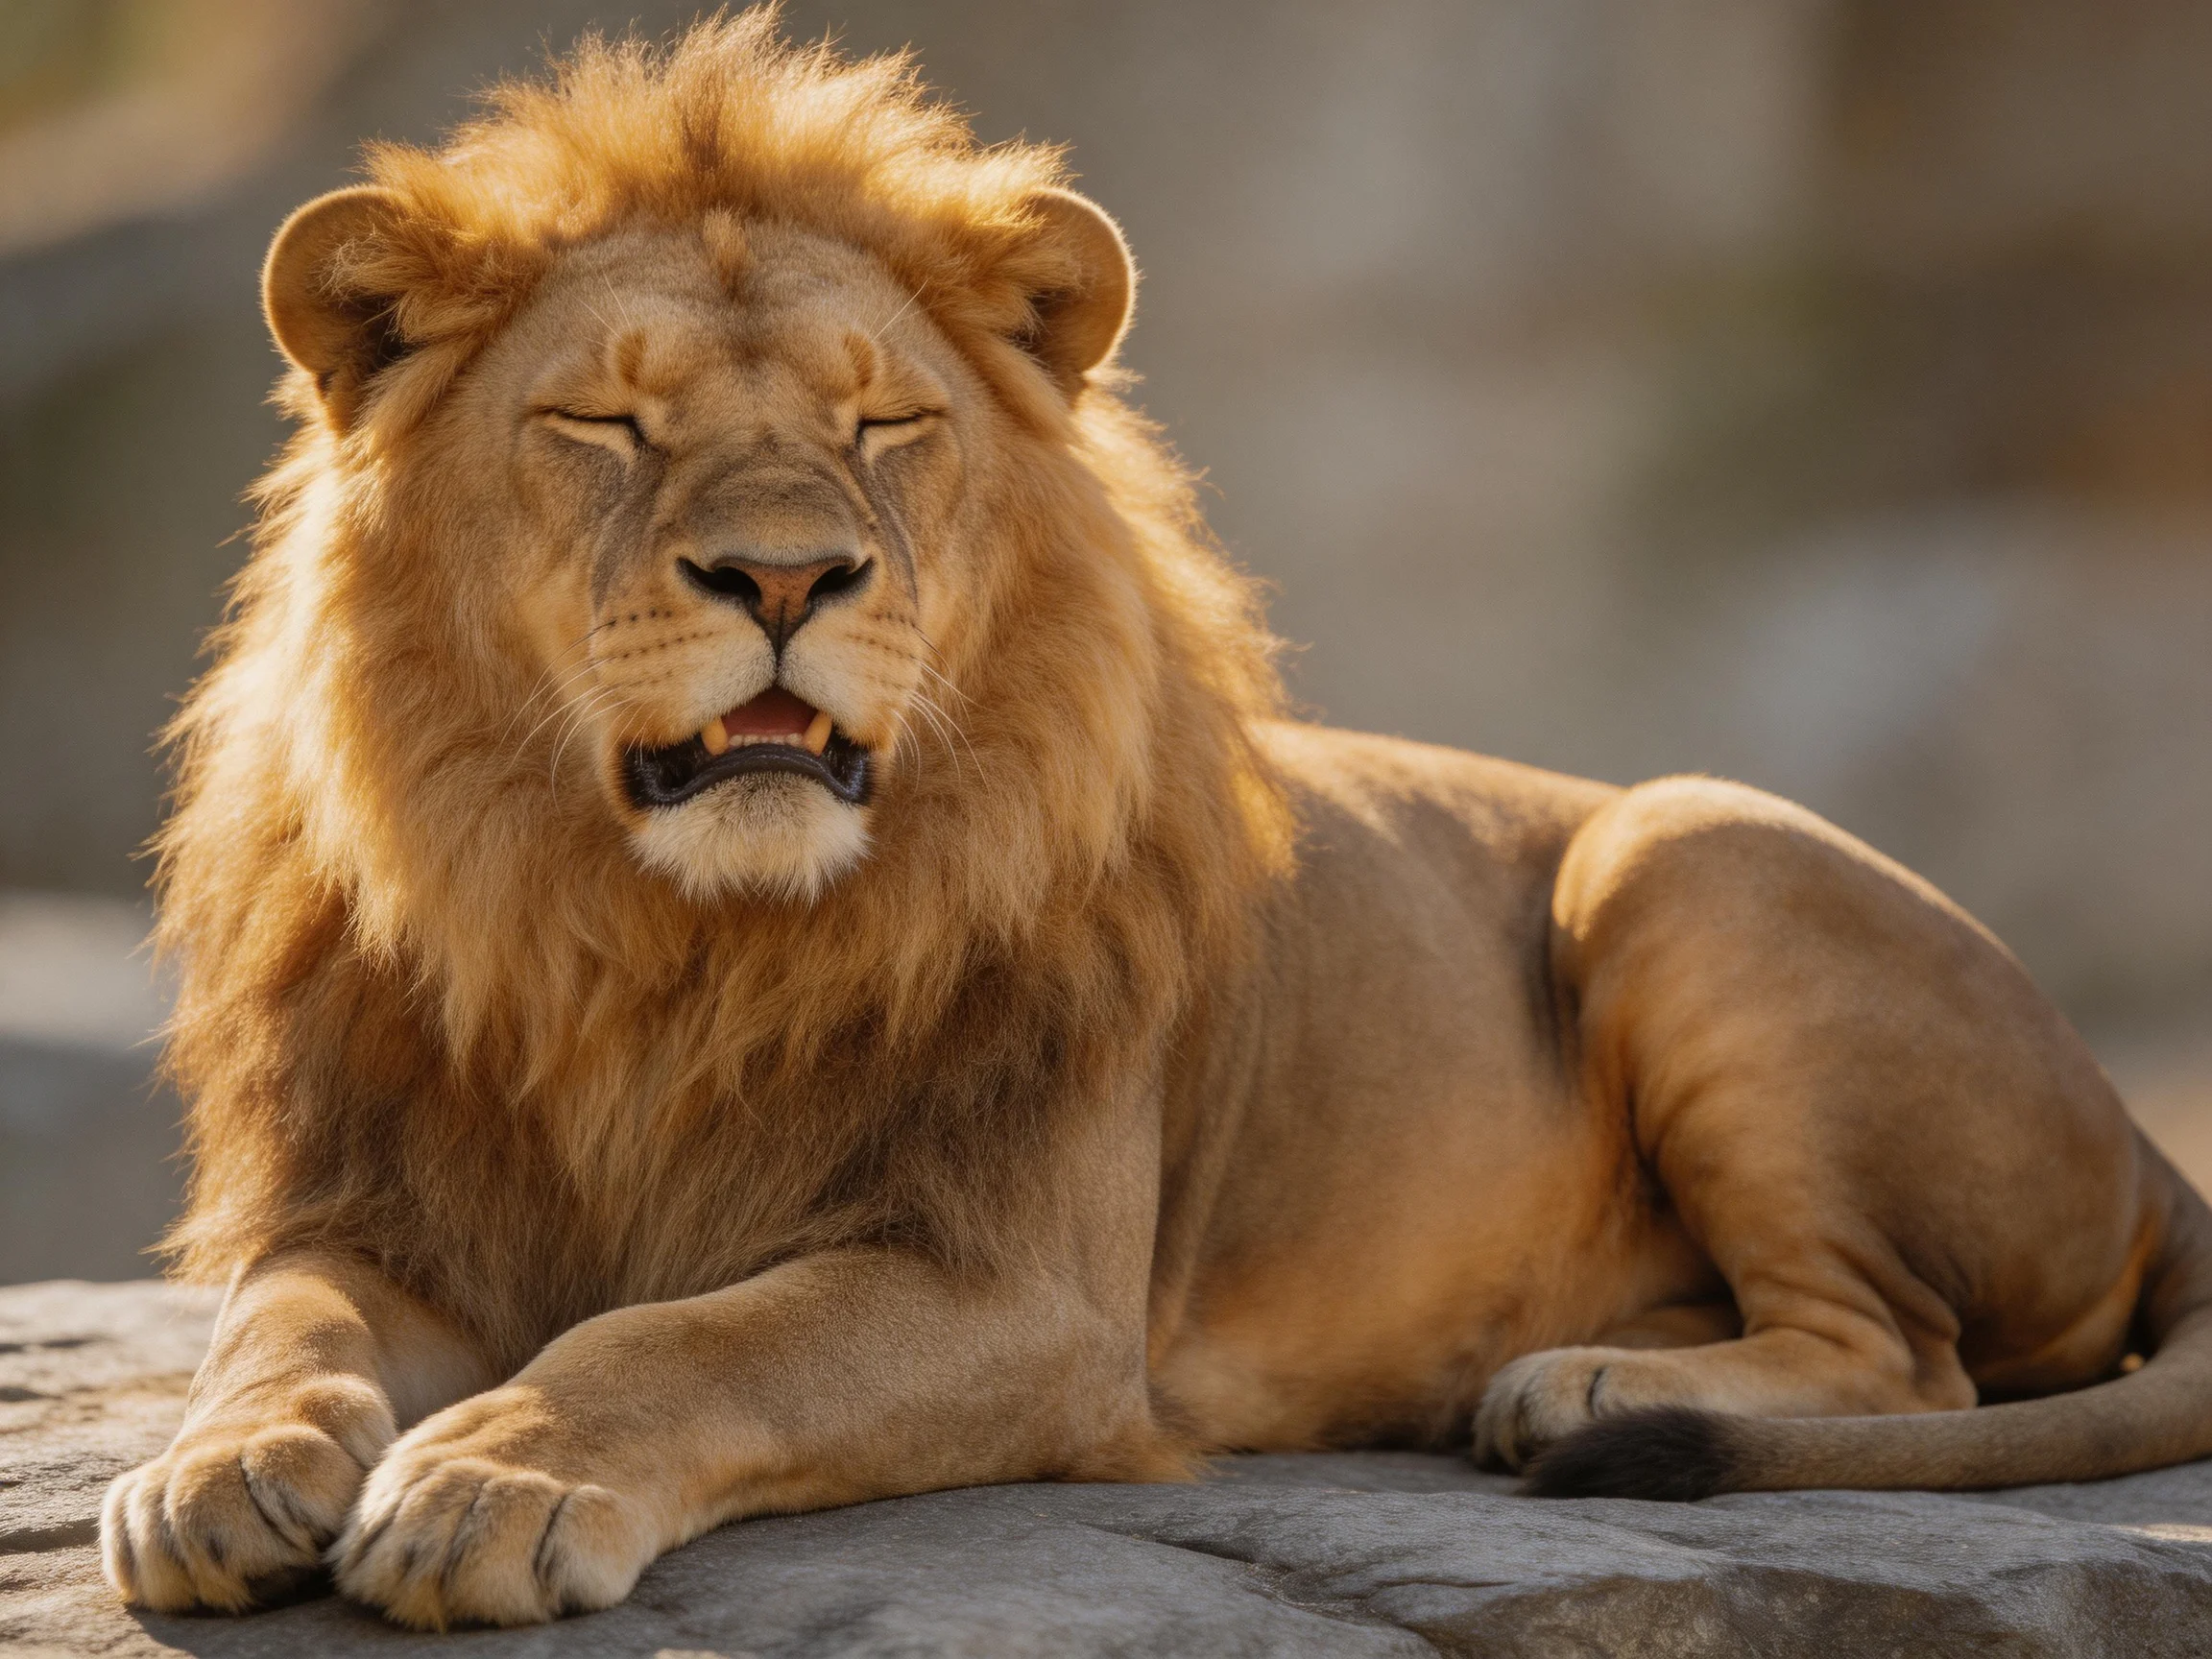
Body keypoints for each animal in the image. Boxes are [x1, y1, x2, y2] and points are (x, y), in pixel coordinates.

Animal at [100, 12, 2212, 1631]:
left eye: (884, 428)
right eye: (602, 426)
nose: (784, 577)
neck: (656, 936)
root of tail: (2142, 1137)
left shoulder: (1025, 1296)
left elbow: (688, 1339)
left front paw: (494, 1479)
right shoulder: (374, 1211)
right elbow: (277, 1328)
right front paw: (213, 1475)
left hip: (1678, 845)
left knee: (1907, 1353)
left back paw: (1571, 1384)